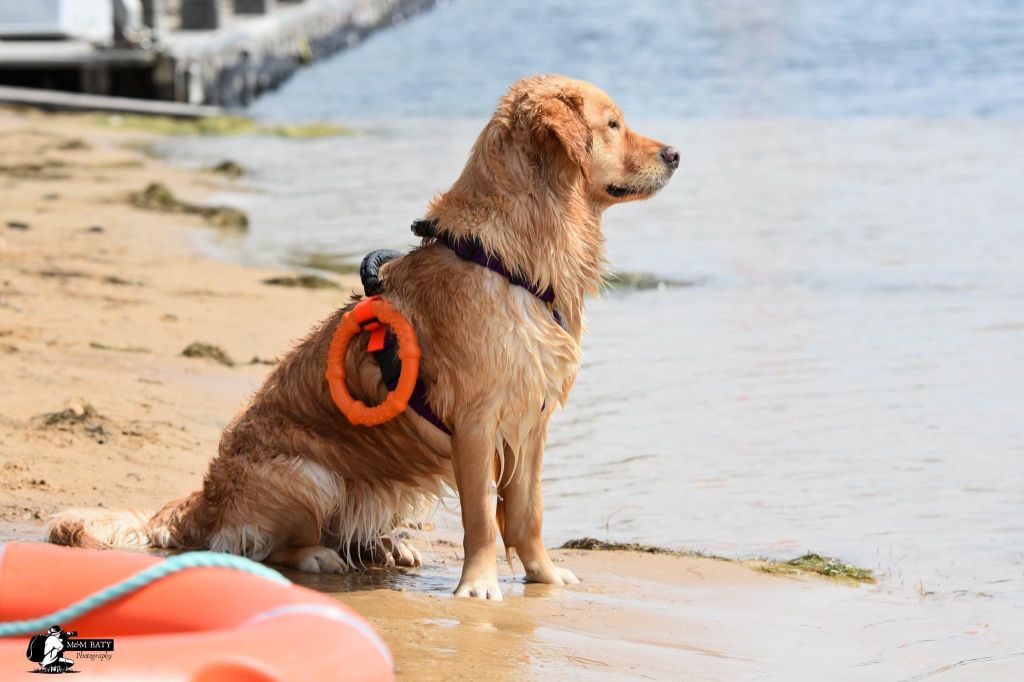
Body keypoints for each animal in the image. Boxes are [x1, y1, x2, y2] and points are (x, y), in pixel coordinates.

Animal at [51, 73, 684, 593]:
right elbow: (482, 515)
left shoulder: (531, 420)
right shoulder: (477, 420)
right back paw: (320, 557)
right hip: (308, 475)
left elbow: (528, 514)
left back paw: (388, 547)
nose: (676, 153)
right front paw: (479, 589)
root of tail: (204, 503)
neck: (514, 258)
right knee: (267, 548)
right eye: (613, 124)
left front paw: (545, 577)